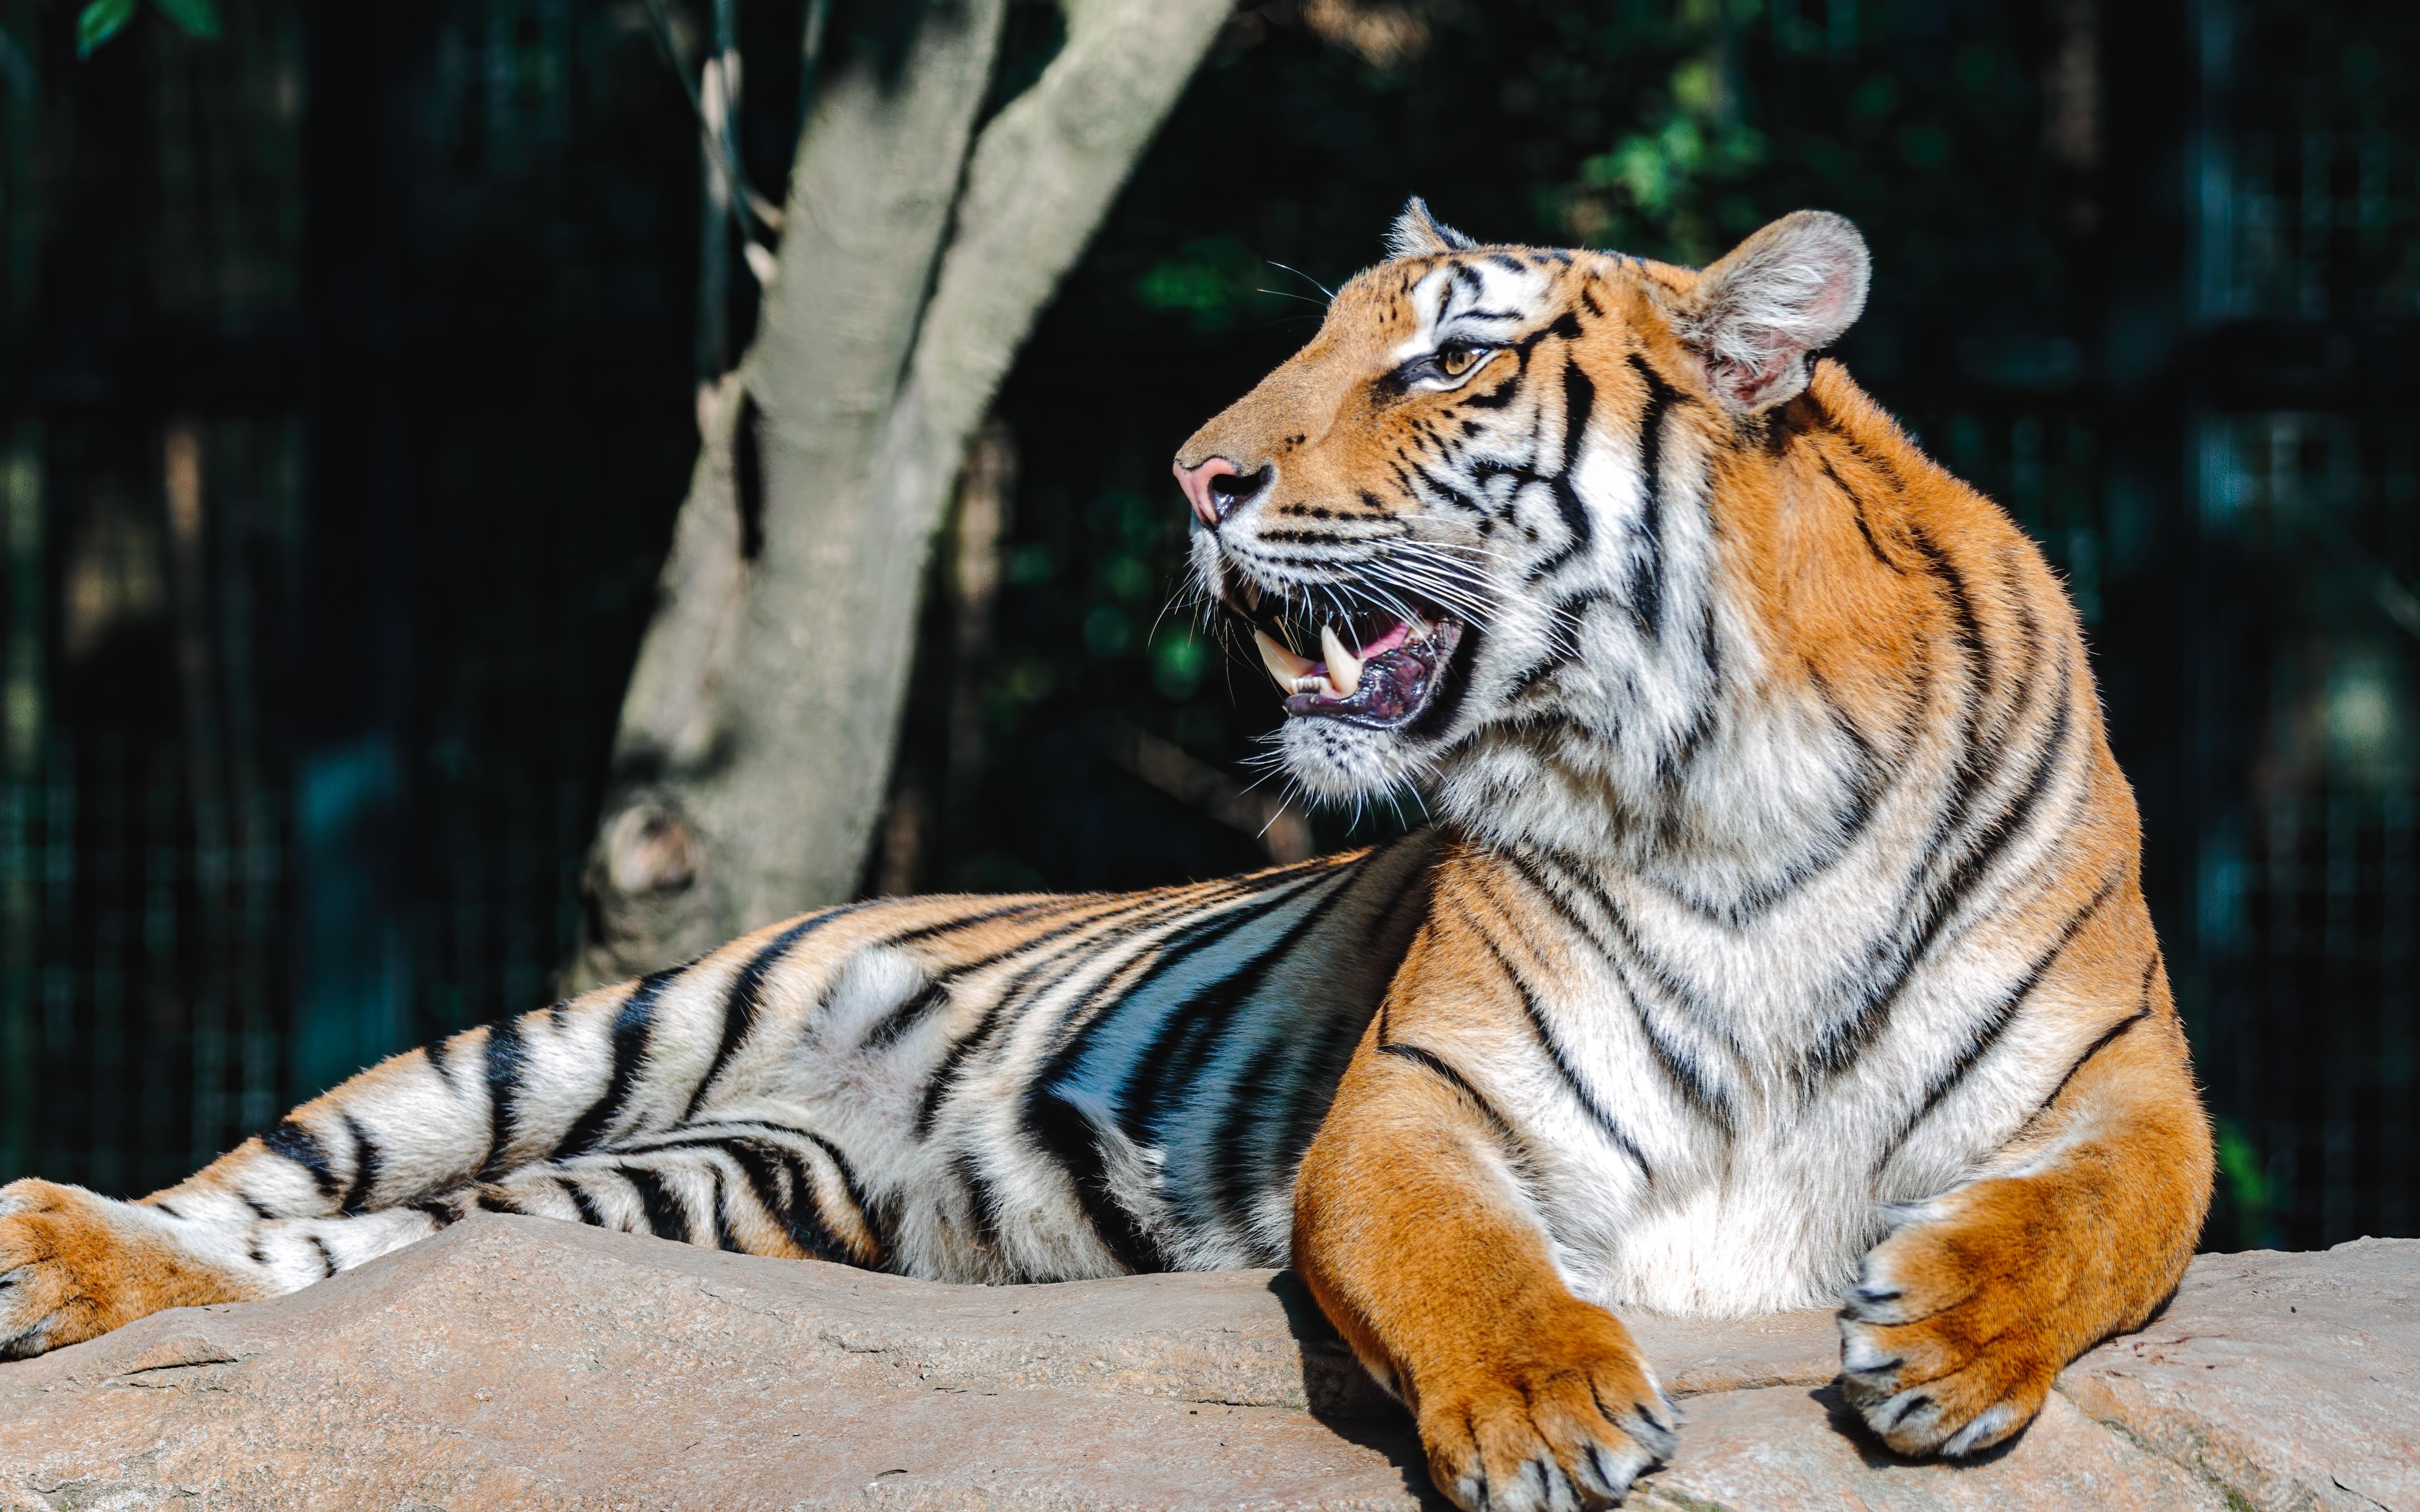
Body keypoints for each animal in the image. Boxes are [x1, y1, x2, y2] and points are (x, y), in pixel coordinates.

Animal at [0, 203, 2217, 1509]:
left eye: (1448, 359)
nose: (1196, 475)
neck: (1706, 773)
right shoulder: (1426, 1105)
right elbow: (1467, 1255)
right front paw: (1548, 1407)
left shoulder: (2126, 1092)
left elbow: (2098, 1217)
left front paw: (1942, 1344)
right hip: (584, 1037)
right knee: (274, 1190)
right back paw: (46, 1242)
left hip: (718, 1191)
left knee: (401, 1251)